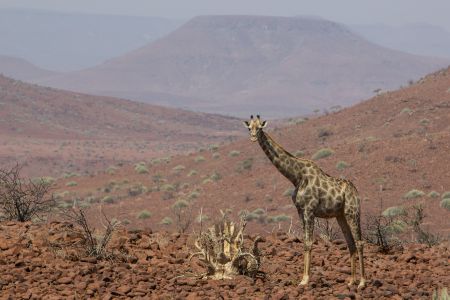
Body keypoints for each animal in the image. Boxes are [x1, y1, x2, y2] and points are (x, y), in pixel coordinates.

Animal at [243, 114, 366, 288]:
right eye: (249, 128)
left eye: (260, 127)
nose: (253, 137)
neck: (296, 176)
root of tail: (355, 191)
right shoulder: (300, 210)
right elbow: (304, 243)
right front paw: (303, 278)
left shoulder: (309, 209)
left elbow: (309, 242)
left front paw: (305, 280)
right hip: (340, 215)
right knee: (351, 243)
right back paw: (351, 281)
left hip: (352, 212)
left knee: (360, 242)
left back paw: (362, 282)